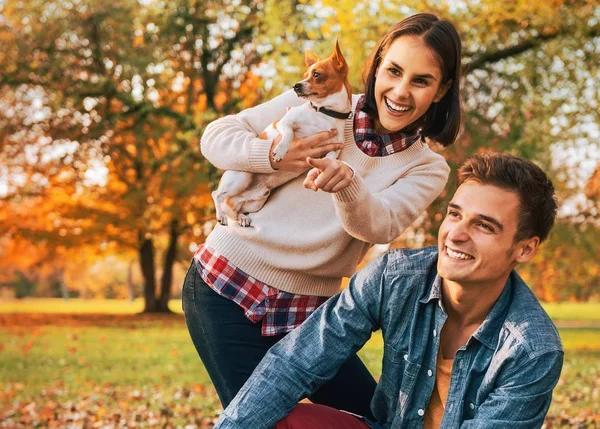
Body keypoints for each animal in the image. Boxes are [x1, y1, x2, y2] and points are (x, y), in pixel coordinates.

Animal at [211, 39, 352, 227]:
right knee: (217, 195)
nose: (296, 86)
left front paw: (318, 171)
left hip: (256, 201)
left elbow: (329, 159)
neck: (325, 113)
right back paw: (221, 215)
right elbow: (289, 134)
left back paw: (240, 217)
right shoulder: (285, 122)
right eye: (305, 74)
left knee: (231, 205)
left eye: (317, 74)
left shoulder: (335, 147)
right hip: (242, 176)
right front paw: (279, 151)